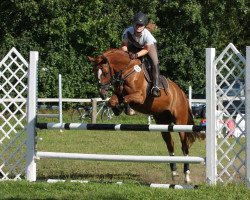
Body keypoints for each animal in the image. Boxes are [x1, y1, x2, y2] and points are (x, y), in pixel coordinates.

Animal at [88, 48, 205, 183]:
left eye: (105, 72)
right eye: (94, 72)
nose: (102, 93)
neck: (127, 71)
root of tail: (182, 93)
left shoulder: (139, 97)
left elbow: (126, 99)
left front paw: (128, 110)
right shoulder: (118, 94)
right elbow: (112, 101)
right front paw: (118, 109)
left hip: (180, 123)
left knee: (184, 146)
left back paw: (187, 176)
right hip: (163, 122)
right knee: (170, 144)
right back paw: (174, 173)